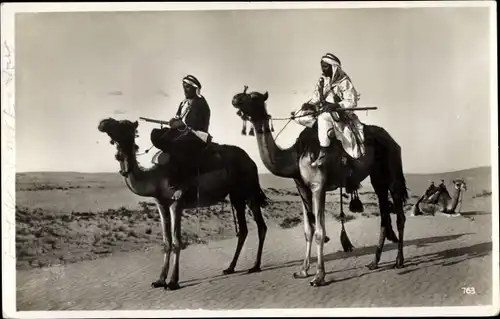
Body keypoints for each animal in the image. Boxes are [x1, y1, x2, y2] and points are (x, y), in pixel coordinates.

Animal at [98, 117, 270, 290]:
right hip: (236, 195)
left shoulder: (177, 203)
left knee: (260, 225)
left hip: (248, 190)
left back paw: (255, 266)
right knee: (243, 230)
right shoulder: (161, 204)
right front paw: (160, 280)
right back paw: (230, 268)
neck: (156, 177)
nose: (103, 123)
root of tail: (251, 161)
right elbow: (166, 241)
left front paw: (173, 281)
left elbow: (177, 241)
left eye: (123, 126)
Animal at [232, 89, 408, 288]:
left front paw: (319, 276)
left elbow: (319, 232)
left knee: (399, 214)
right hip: (377, 178)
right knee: (384, 217)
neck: (294, 156)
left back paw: (399, 261)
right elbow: (308, 231)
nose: (235, 98)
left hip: (393, 169)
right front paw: (302, 270)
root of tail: (392, 140)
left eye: (253, 97)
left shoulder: (318, 186)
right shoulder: (302, 189)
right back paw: (374, 262)